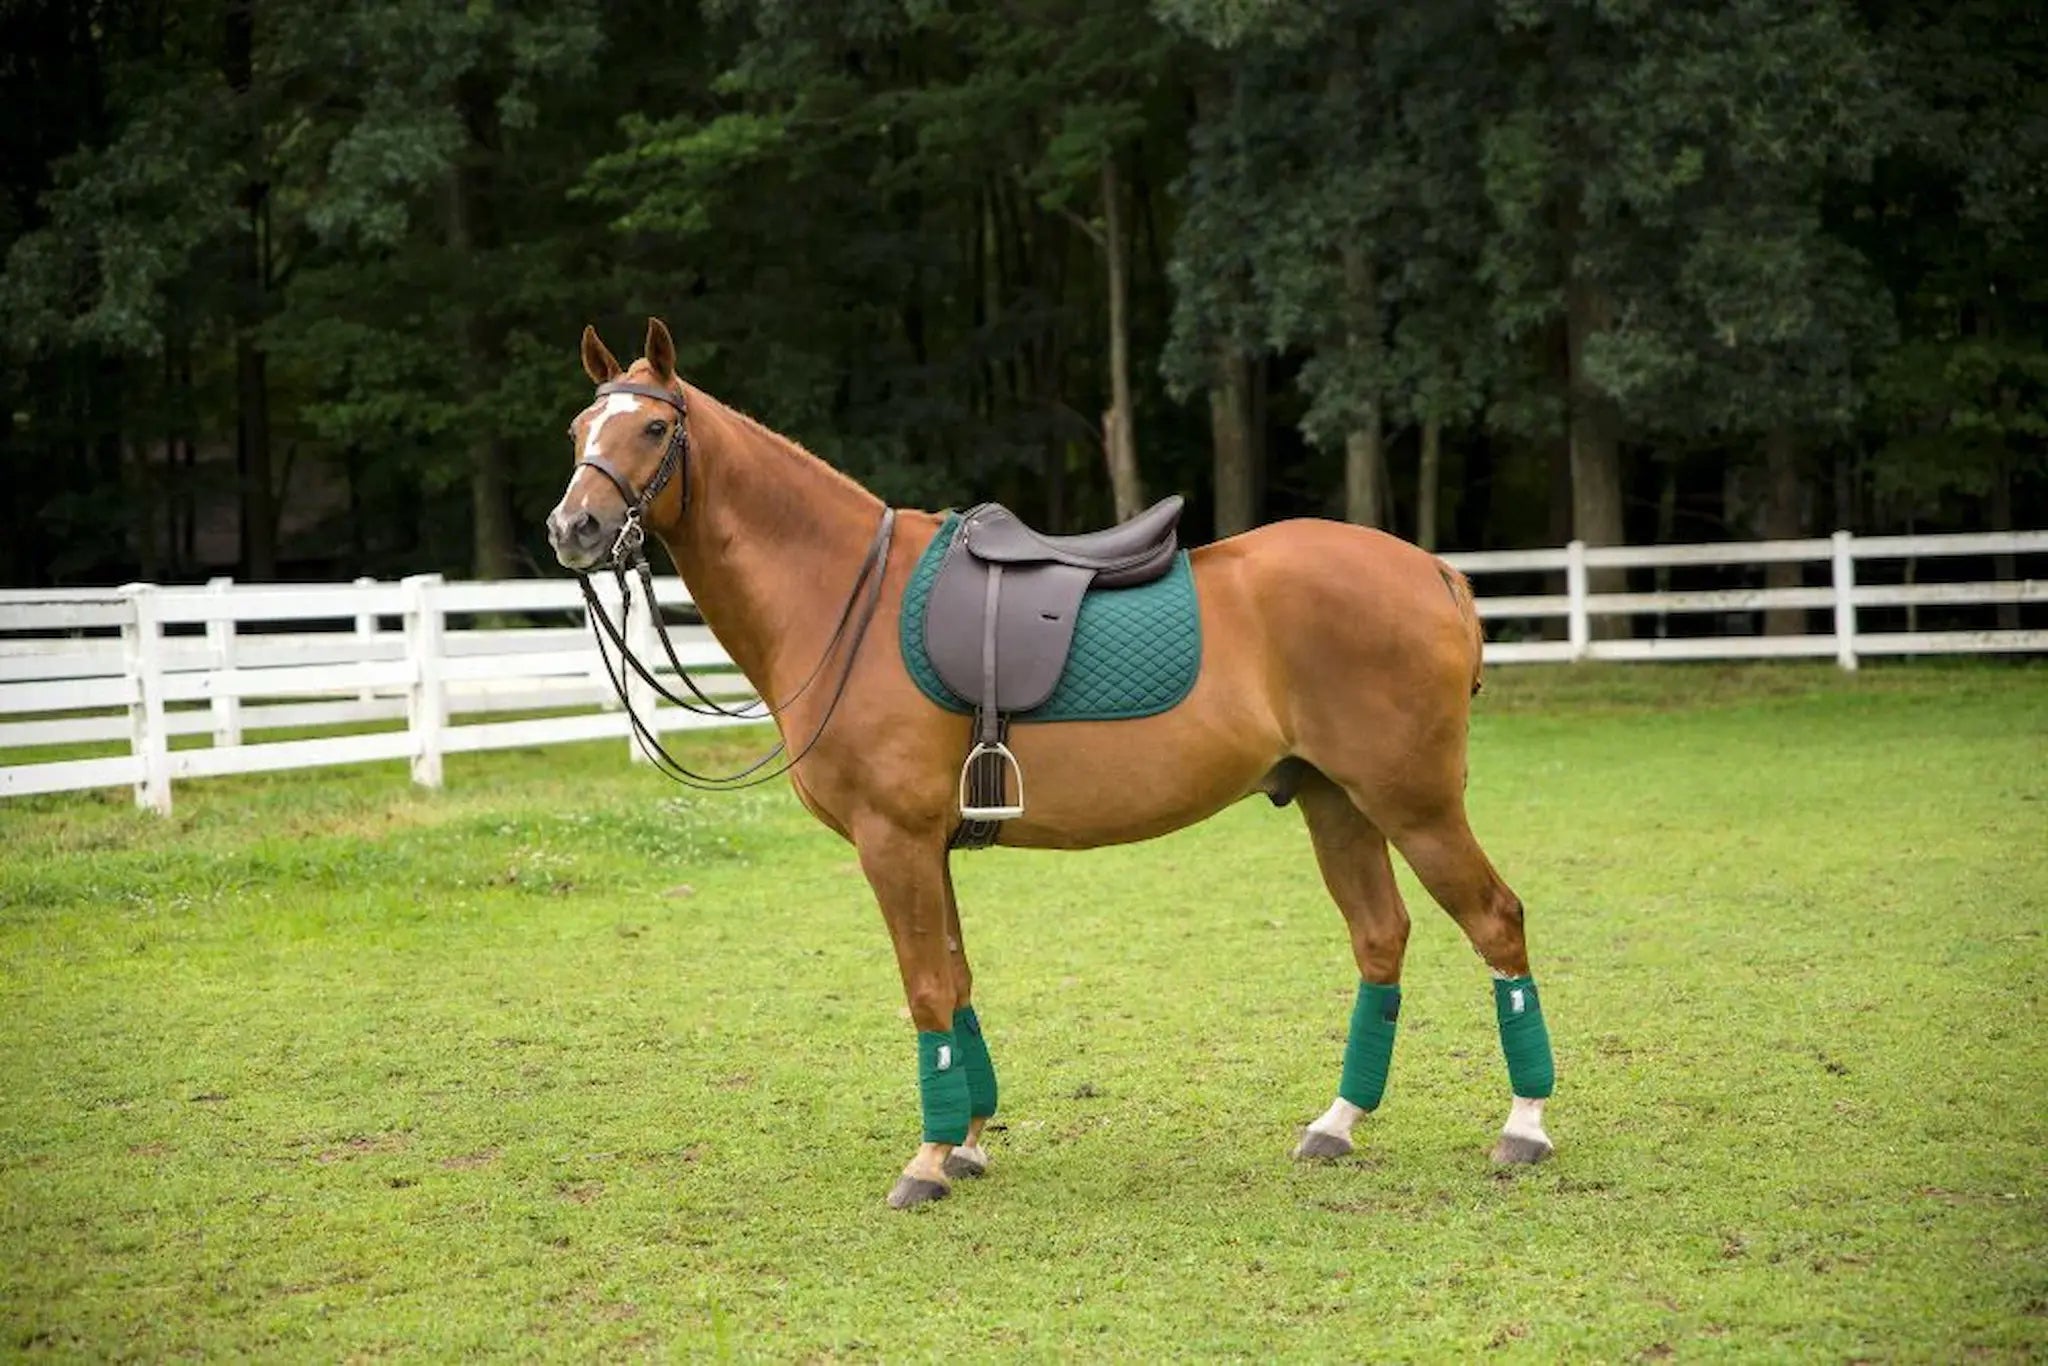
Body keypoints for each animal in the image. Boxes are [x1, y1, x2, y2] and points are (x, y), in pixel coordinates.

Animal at [547, 318, 1557, 1209]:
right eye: (577, 432)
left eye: (653, 428)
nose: (574, 529)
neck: (842, 600)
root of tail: (1435, 571)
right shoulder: (931, 847)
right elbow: (956, 986)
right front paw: (967, 1141)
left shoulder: (892, 842)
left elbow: (925, 991)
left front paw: (926, 1160)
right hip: (1336, 802)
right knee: (1380, 938)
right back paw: (1338, 1123)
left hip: (1413, 803)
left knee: (1496, 922)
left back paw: (1525, 1126)